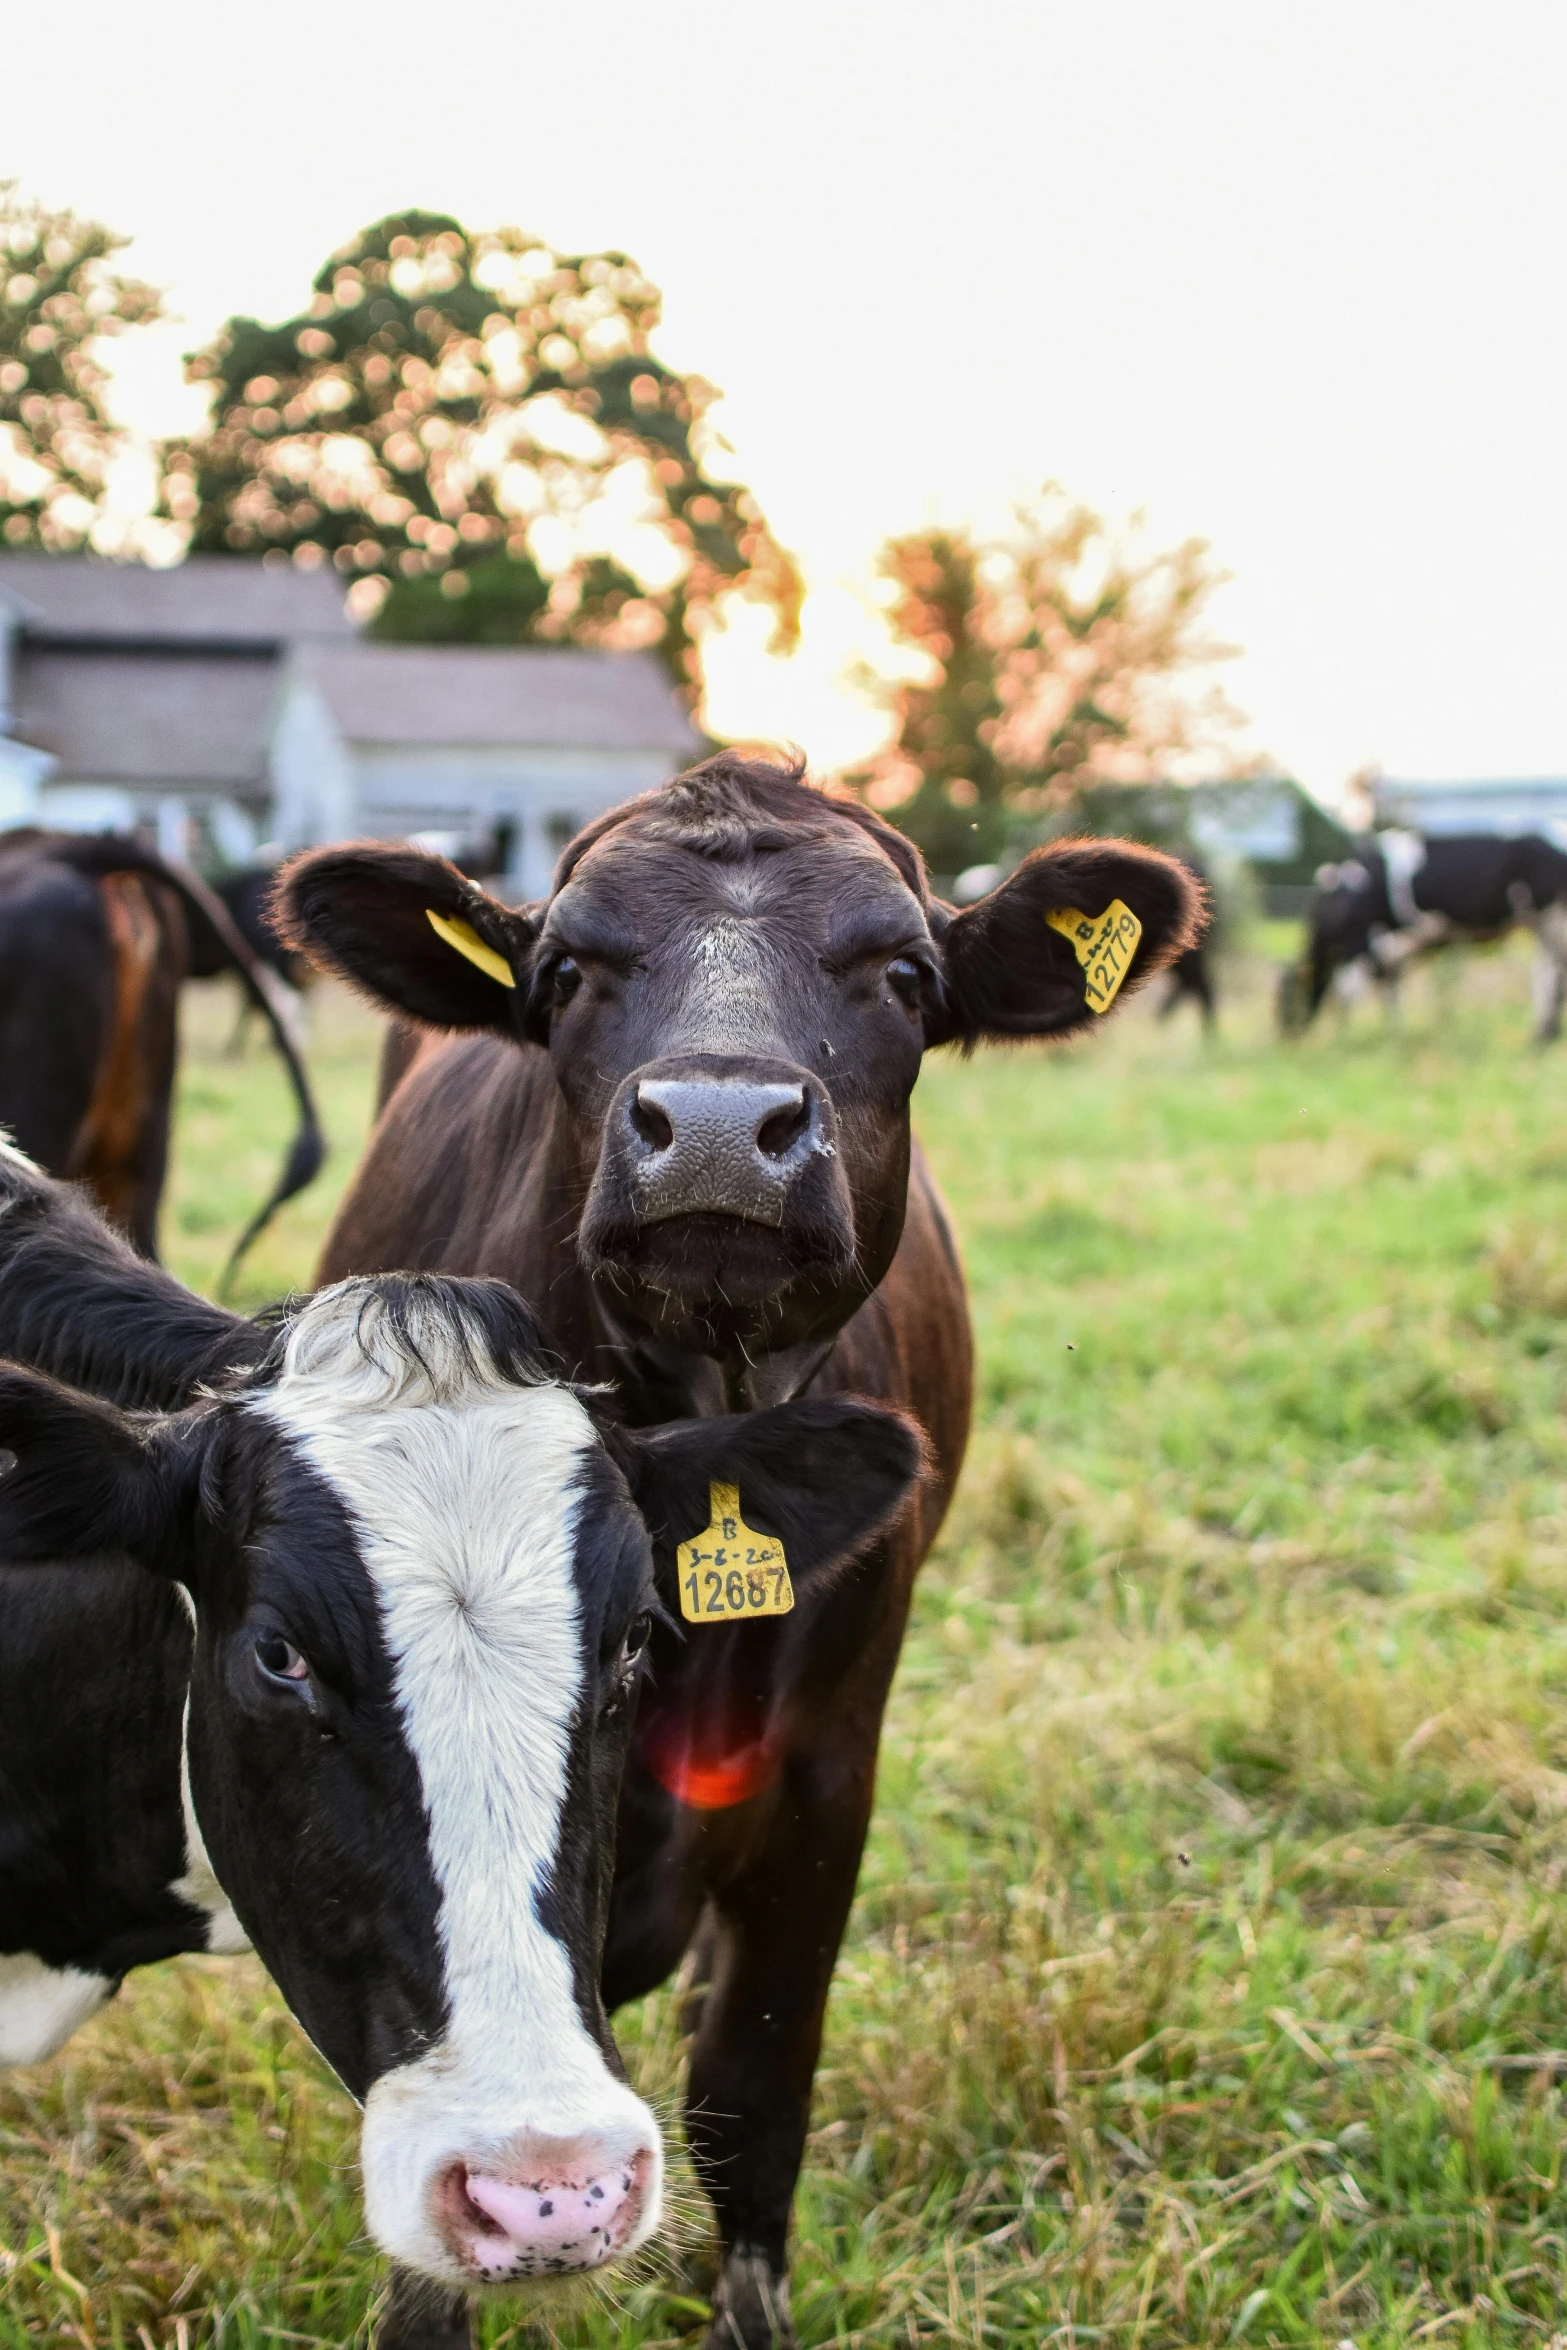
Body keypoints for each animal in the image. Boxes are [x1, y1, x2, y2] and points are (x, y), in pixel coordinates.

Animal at [1278, 831, 1567, 1043]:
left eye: (1286, 998)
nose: (1286, 1040)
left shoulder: (1359, 943)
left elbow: (1349, 994)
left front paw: (1344, 1040)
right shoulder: (1389, 948)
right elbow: (1390, 991)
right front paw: (1395, 1036)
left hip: (1551, 919)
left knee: (1551, 973)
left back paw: (1544, 1037)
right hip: (1544, 923)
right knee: (1548, 971)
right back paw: (1542, 1036)